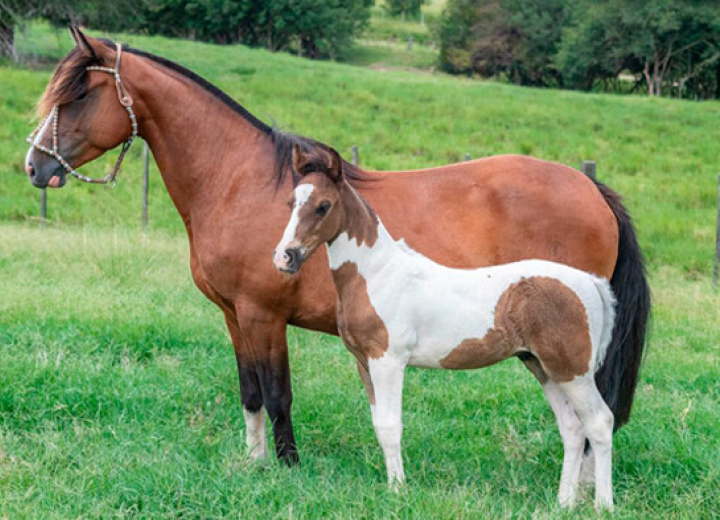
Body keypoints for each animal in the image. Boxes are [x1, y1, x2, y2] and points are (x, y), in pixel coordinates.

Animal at [23, 26, 652, 470]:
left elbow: (278, 394)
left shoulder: (263, 314)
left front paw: (287, 467)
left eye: (79, 93)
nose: (34, 166)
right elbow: (250, 392)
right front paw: (252, 463)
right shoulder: (234, 316)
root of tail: (589, 187)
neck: (243, 180)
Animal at [272, 145, 616, 508]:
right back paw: (563, 502)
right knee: (572, 428)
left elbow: (391, 426)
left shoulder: (388, 361)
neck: (378, 273)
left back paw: (603, 504)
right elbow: (379, 425)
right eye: (291, 202)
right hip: (544, 368)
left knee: (600, 422)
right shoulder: (365, 363)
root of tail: (590, 282)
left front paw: (398, 491)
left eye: (323, 205)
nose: (284, 257)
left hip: (573, 372)